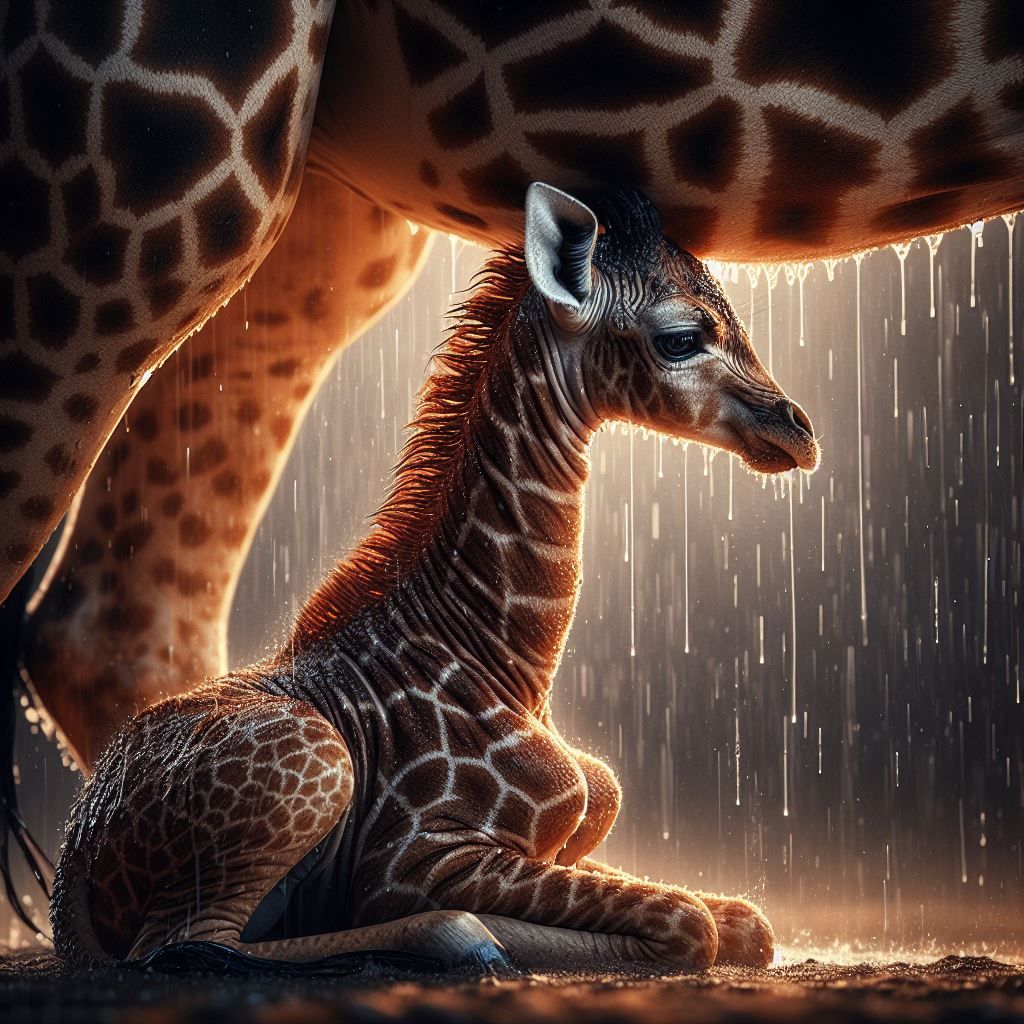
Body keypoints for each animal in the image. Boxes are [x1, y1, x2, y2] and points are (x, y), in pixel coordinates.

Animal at [50, 184, 818, 974]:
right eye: (680, 337)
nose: (798, 430)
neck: (511, 664)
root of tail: (75, 853)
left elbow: (747, 923)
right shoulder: (413, 861)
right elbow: (688, 923)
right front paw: (474, 935)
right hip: (317, 773)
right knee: (184, 943)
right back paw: (460, 938)